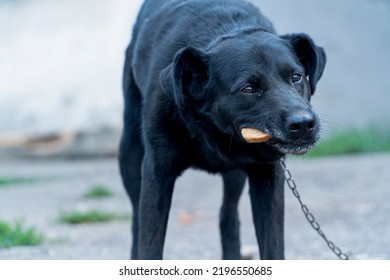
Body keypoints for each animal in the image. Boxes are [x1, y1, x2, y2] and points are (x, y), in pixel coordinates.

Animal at [119, 0, 326, 260]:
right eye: (248, 88)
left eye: (296, 77)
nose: (303, 124)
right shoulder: (157, 172)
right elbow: (150, 245)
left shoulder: (268, 174)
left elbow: (273, 246)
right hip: (130, 156)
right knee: (136, 219)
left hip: (235, 175)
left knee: (228, 215)